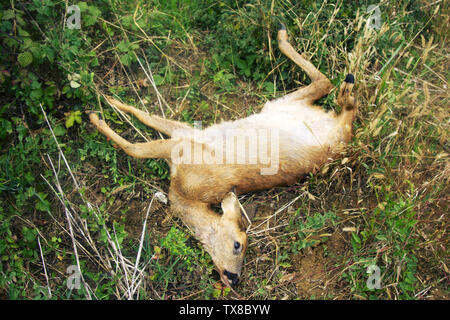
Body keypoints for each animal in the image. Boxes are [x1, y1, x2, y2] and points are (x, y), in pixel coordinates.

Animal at [89, 26, 358, 288]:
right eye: (238, 243)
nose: (234, 278)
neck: (184, 193)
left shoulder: (185, 147)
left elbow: (134, 147)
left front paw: (97, 116)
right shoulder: (184, 137)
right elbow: (144, 122)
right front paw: (108, 104)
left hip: (323, 132)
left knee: (336, 98)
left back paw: (343, 85)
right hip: (281, 105)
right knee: (325, 86)